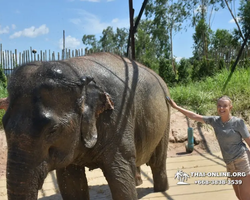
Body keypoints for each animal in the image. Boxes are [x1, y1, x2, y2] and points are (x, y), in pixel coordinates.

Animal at [3, 52, 171, 199]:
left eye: (52, 130)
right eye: (4, 126)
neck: (79, 72)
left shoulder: (118, 116)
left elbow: (120, 178)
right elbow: (71, 183)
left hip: (165, 115)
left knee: (158, 160)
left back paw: (161, 189)